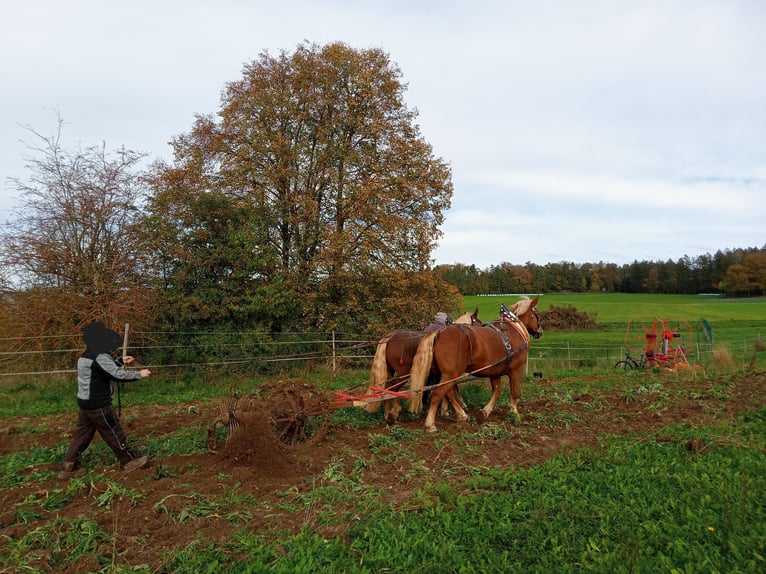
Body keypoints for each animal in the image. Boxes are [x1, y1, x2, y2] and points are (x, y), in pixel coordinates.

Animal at [412, 296, 544, 432]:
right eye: (537, 314)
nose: (540, 332)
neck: (513, 329)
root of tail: (439, 333)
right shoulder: (516, 370)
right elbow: (514, 392)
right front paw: (515, 414)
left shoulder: (495, 372)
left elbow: (497, 392)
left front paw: (485, 411)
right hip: (450, 374)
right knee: (439, 392)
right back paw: (431, 424)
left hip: (444, 373)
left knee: (446, 392)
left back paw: (460, 415)